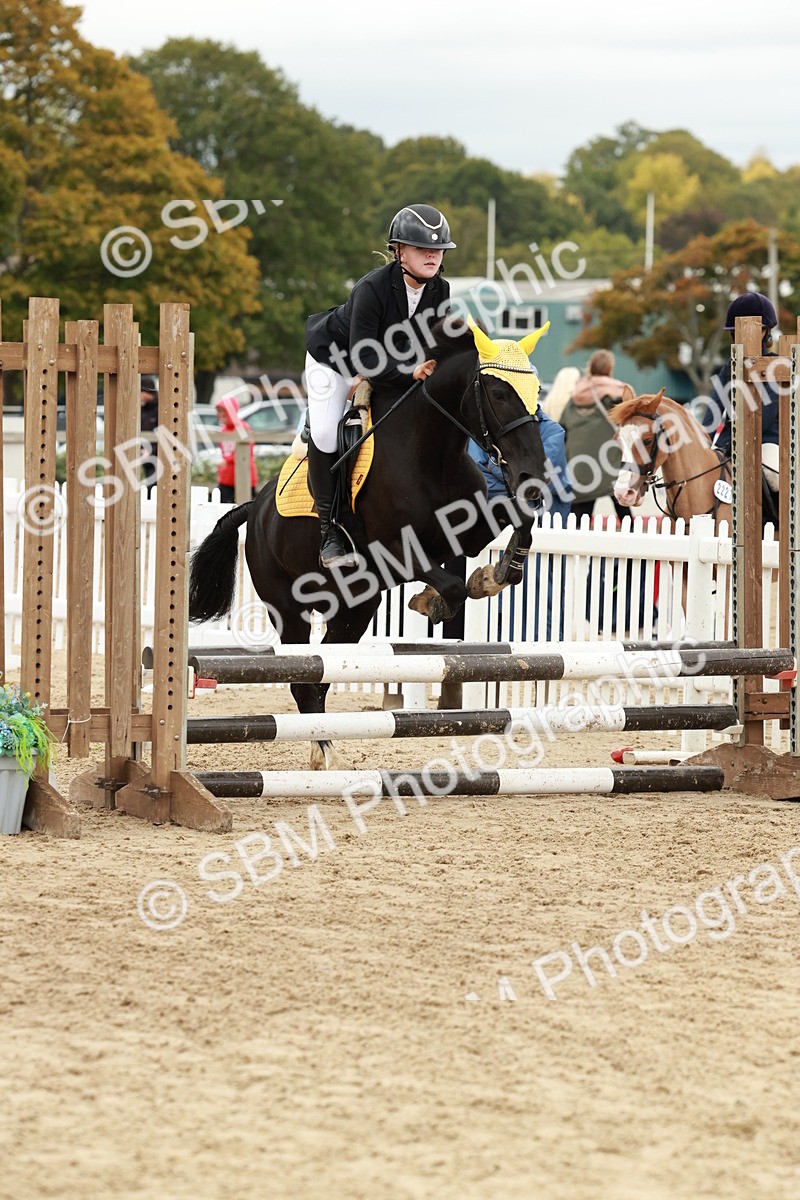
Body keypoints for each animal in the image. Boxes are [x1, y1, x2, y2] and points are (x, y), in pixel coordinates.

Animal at [188, 317, 549, 767]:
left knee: (321, 675)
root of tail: (256, 508)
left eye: (536, 390)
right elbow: (450, 585)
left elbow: (517, 520)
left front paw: (497, 572)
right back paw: (325, 755)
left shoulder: (467, 531)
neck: (431, 453)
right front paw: (435, 601)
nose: (532, 474)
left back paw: (324, 750)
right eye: (499, 394)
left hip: (354, 609)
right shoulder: (392, 554)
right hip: (289, 609)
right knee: (303, 679)